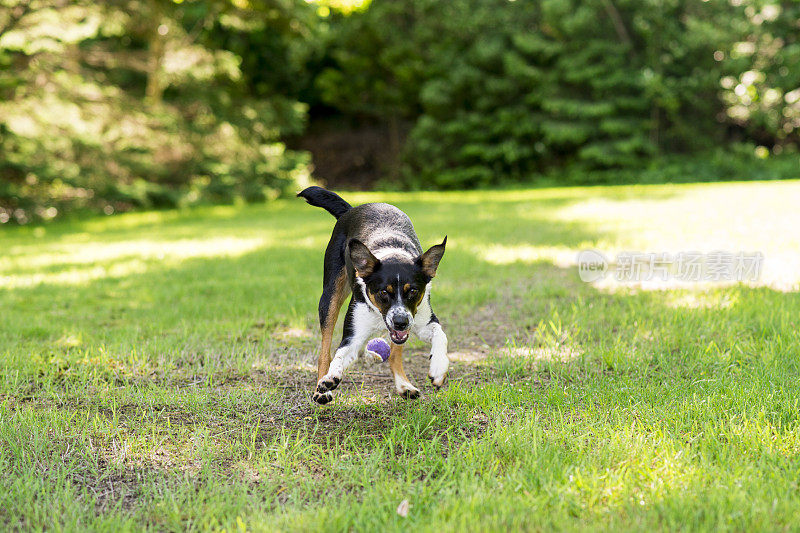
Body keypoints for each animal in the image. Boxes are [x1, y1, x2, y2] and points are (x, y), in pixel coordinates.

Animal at [298, 186, 450, 404]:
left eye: (413, 291)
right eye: (383, 292)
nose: (401, 322)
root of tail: (351, 209)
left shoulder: (423, 320)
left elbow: (440, 335)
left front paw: (438, 368)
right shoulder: (353, 334)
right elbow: (339, 355)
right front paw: (330, 379)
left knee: (395, 353)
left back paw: (404, 385)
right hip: (330, 297)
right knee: (325, 351)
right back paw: (322, 389)